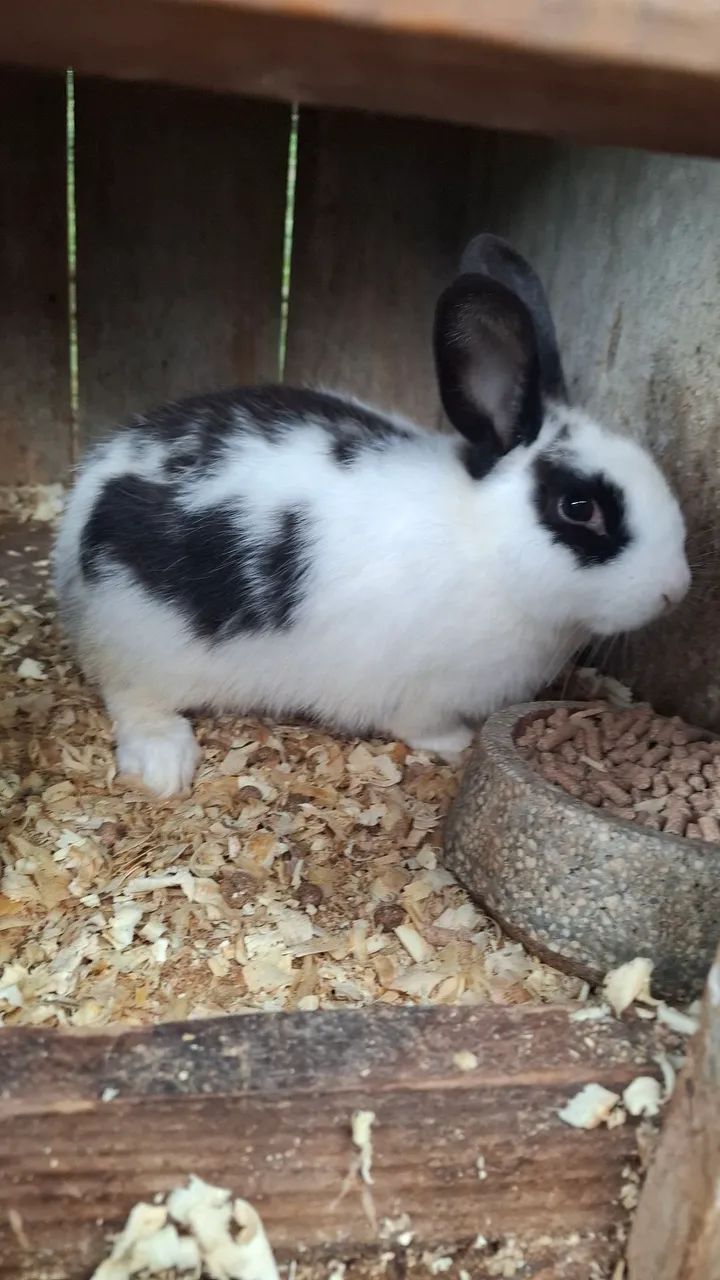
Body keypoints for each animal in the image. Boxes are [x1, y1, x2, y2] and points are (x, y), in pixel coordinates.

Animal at [54, 235, 691, 797]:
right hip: (144, 642)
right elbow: (422, 724)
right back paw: (164, 760)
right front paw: (456, 744)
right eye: (579, 508)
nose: (674, 592)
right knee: (131, 696)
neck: (484, 544)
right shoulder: (422, 691)